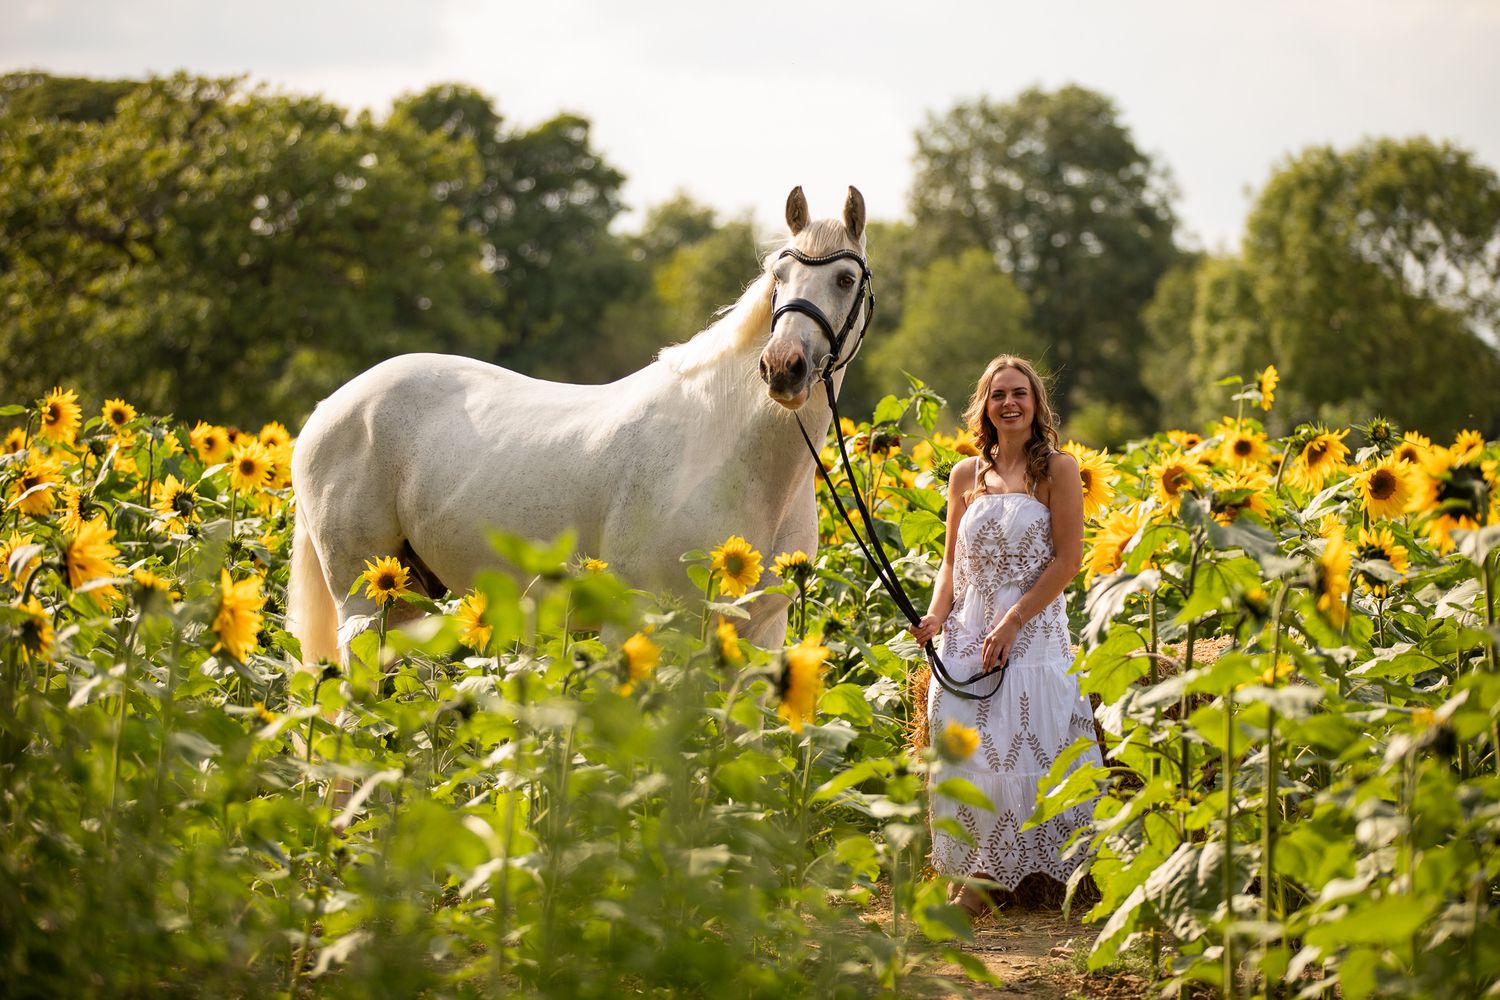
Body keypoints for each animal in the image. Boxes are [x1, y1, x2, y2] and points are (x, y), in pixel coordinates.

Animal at [287, 185, 872, 661]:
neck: (730, 458)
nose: (782, 368)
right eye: (779, 276)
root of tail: (328, 408)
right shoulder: (640, 625)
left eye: (845, 279)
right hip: (362, 598)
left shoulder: (761, 635)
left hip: (406, 600)